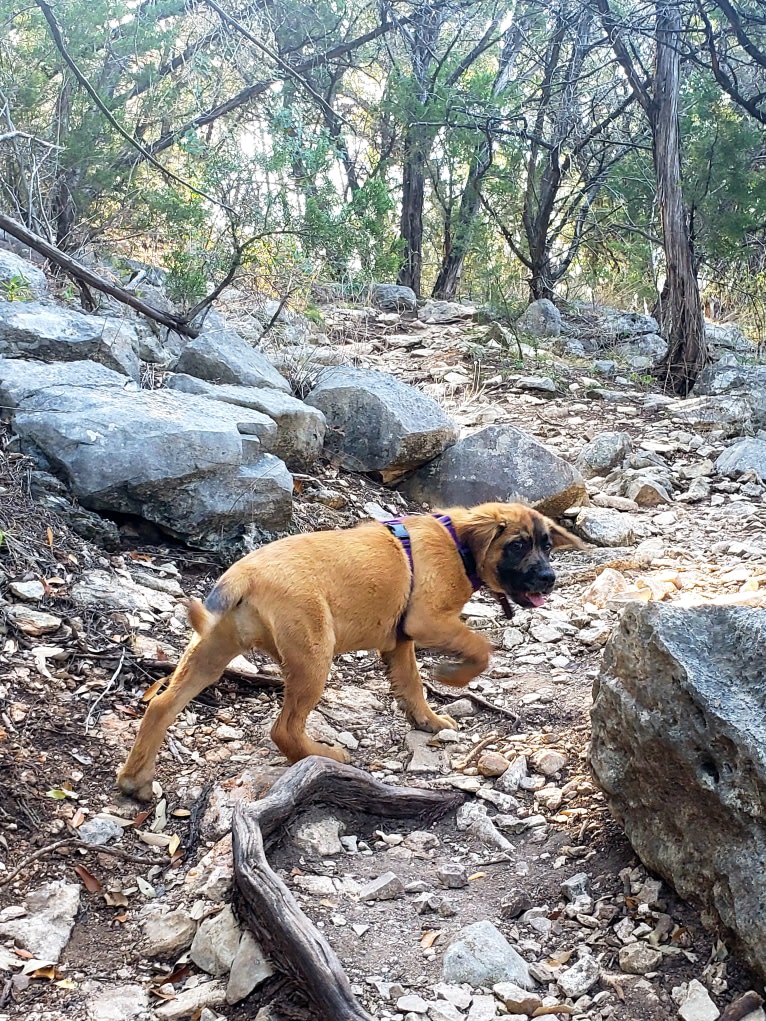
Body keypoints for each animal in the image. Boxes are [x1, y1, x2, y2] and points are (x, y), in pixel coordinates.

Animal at [116, 500, 584, 796]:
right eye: (517, 545)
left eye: (547, 545)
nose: (550, 579)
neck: (457, 544)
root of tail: (243, 574)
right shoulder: (426, 621)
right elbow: (479, 647)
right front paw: (452, 676)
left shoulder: (400, 640)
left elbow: (411, 685)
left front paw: (428, 720)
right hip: (313, 655)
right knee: (284, 729)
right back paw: (325, 755)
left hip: (211, 650)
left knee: (161, 706)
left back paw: (136, 780)